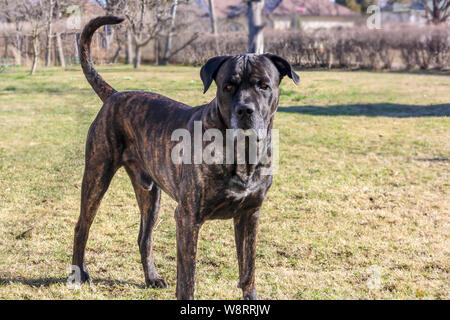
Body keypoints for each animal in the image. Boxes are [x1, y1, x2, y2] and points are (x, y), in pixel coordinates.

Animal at [71, 15, 298, 300]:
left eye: (264, 85)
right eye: (228, 86)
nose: (245, 109)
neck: (241, 152)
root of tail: (114, 95)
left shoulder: (249, 215)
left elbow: (248, 270)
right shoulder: (188, 218)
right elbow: (188, 278)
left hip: (150, 195)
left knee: (144, 237)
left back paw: (152, 278)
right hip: (97, 176)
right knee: (82, 226)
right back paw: (79, 273)